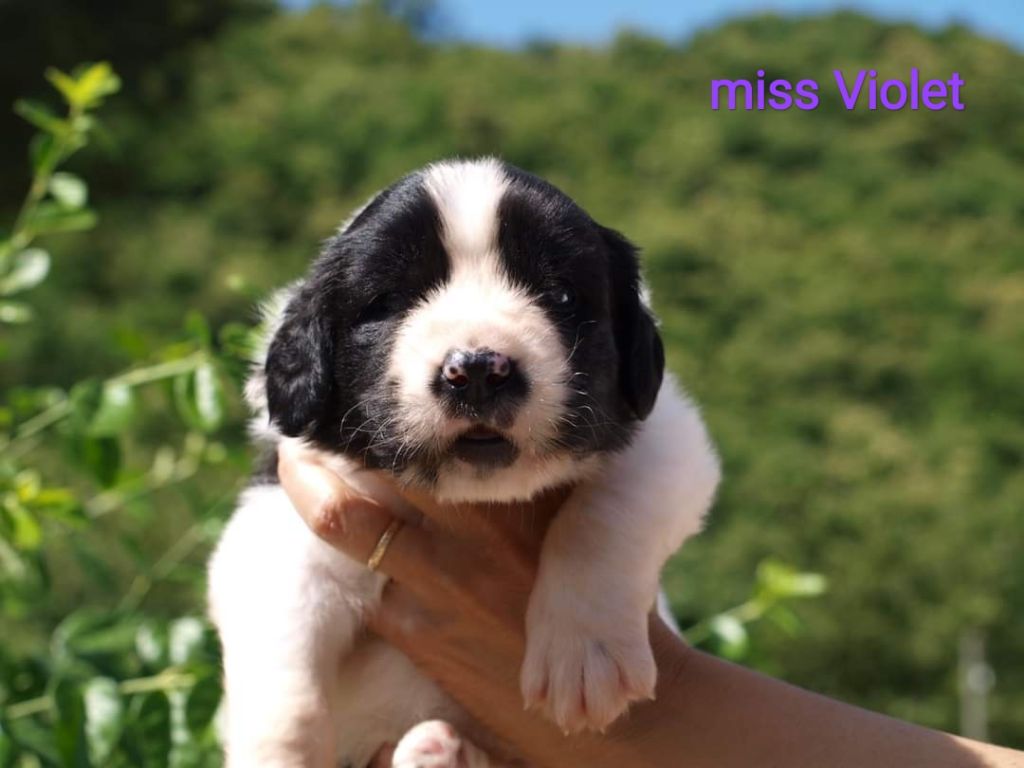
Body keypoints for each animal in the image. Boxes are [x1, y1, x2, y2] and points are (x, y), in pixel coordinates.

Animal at [207, 158, 720, 767]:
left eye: (561, 295)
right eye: (387, 302)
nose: (476, 369)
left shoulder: (667, 432)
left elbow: (608, 513)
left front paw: (584, 654)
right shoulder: (284, 516)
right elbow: (284, 674)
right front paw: (279, 752)